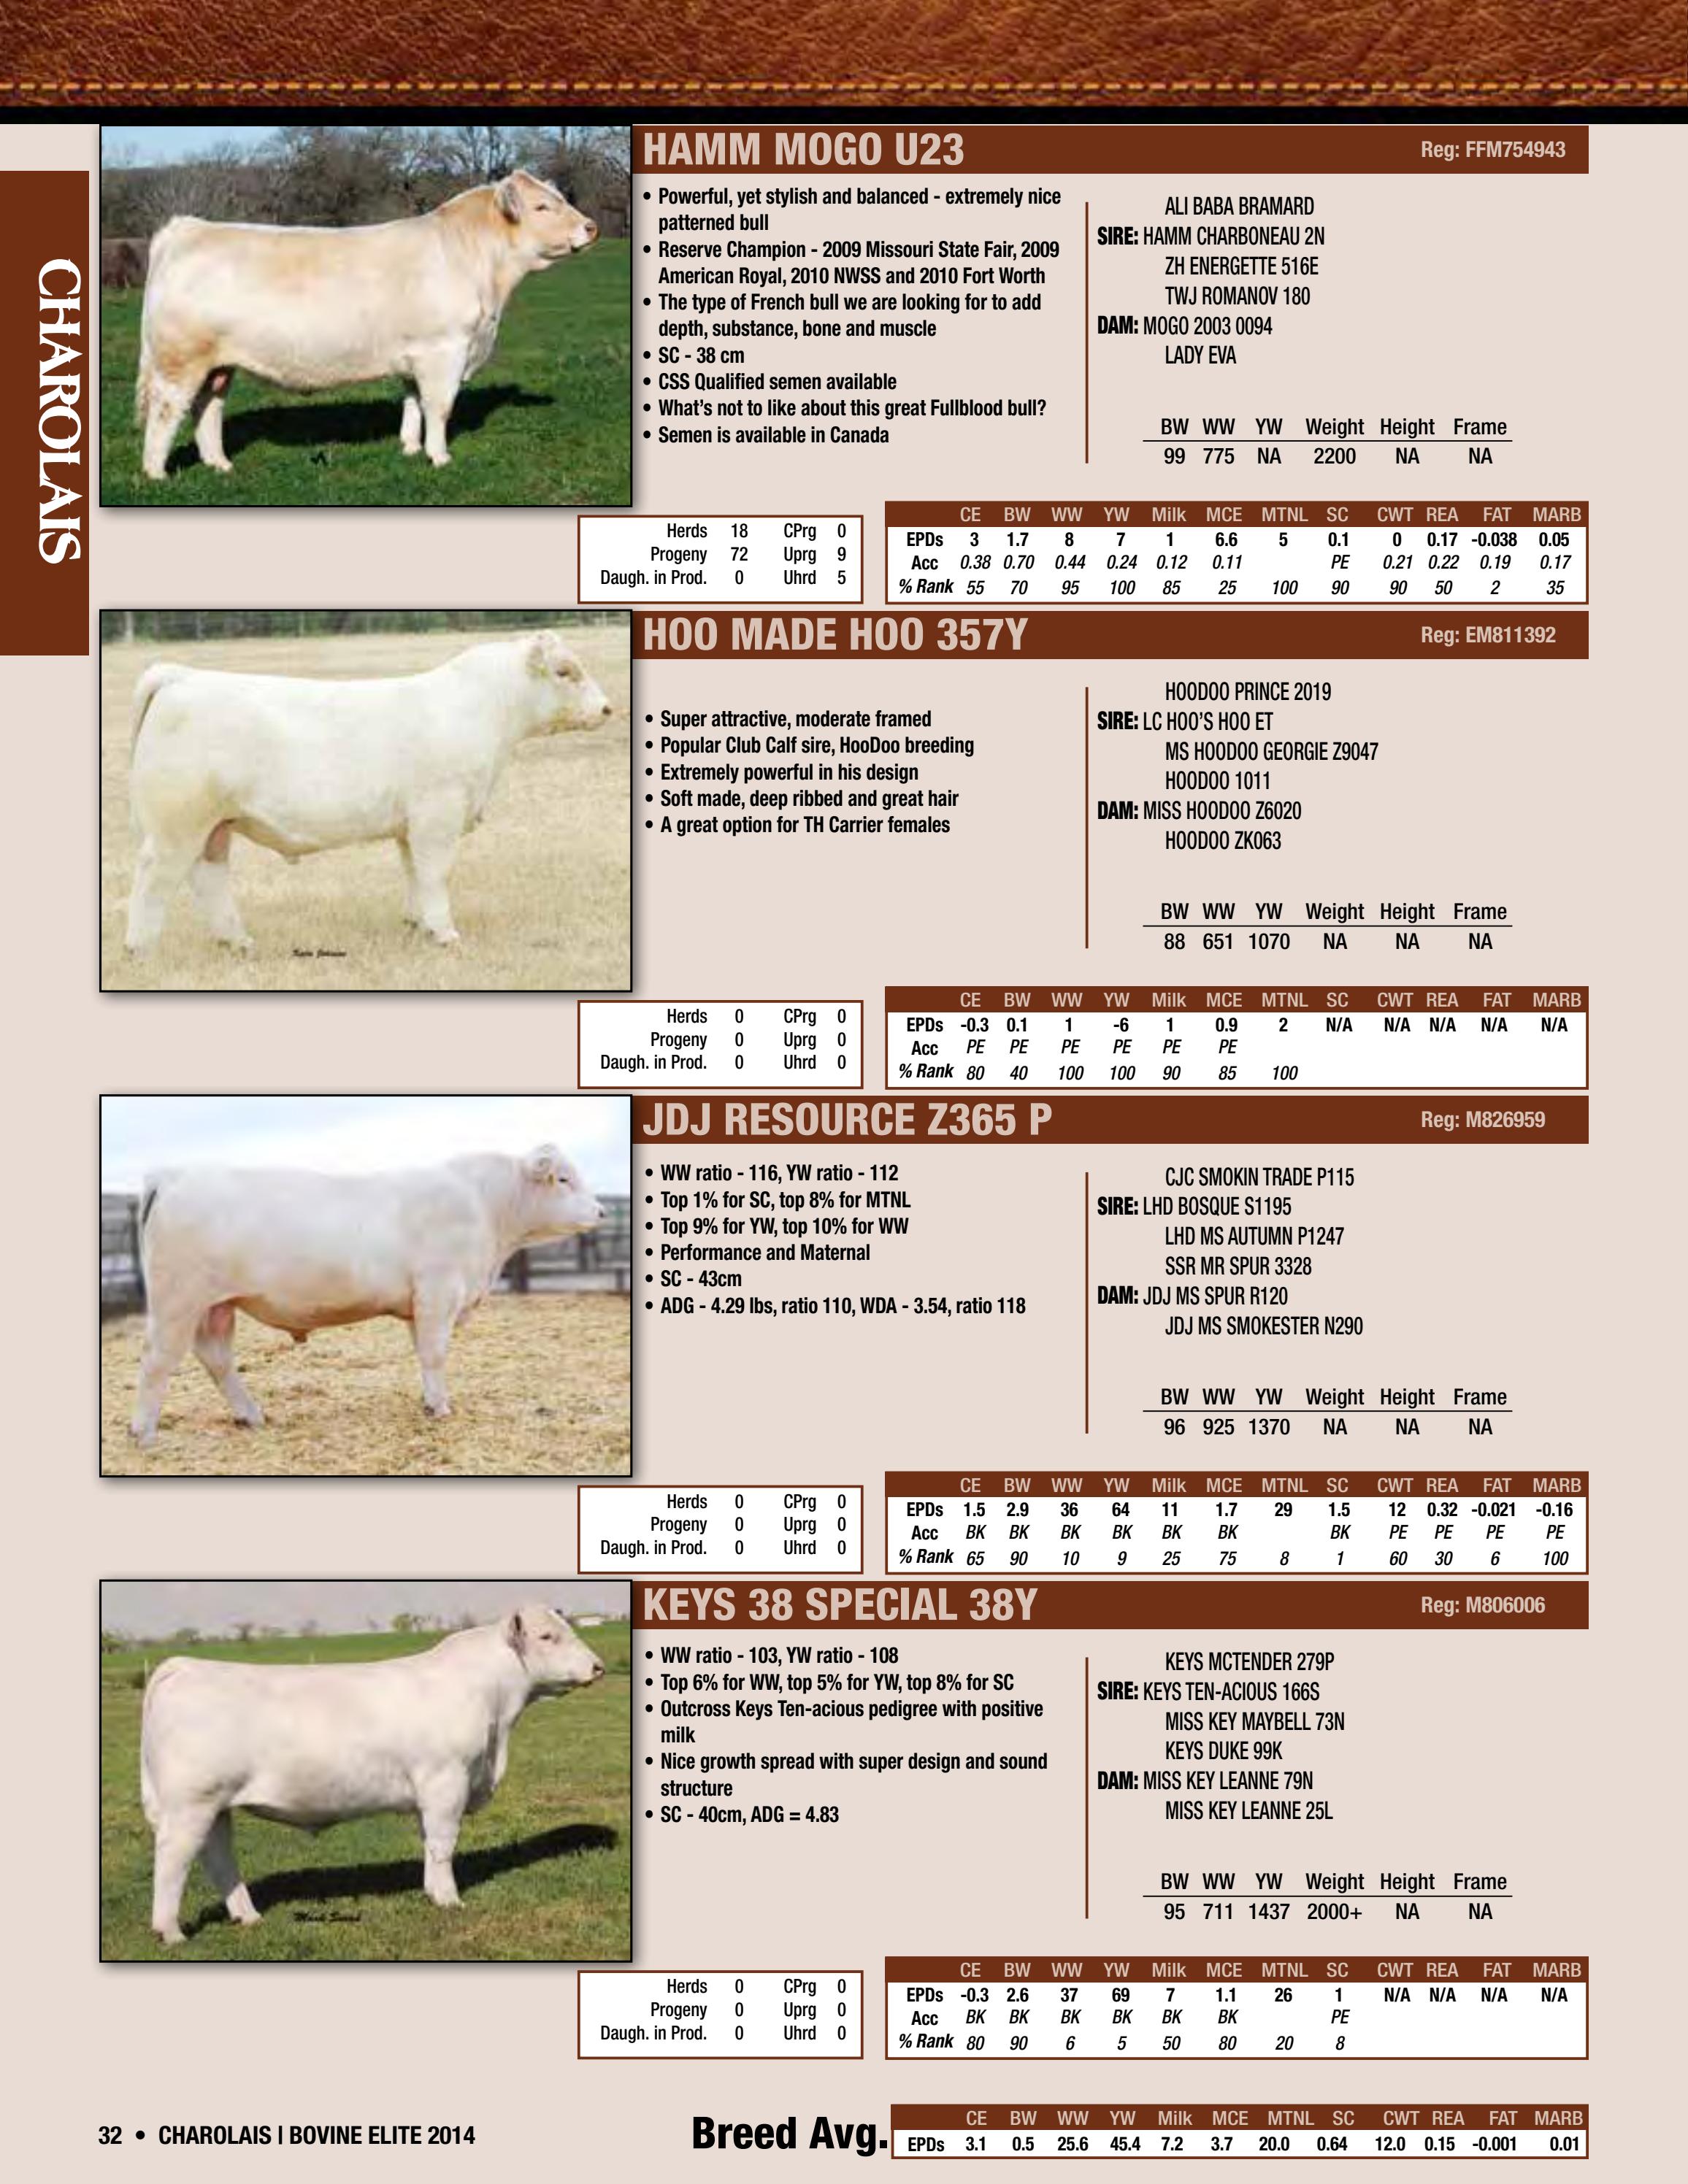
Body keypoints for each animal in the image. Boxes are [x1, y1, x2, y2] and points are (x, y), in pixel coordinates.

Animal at [125, 630, 614, 955]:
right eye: (565, 671)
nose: (607, 708)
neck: (486, 712)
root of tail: (181, 676)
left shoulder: (412, 824)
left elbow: (413, 872)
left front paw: (418, 925)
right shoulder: (439, 813)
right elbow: (436, 873)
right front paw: (446, 934)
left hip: (213, 825)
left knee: (208, 876)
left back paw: (238, 942)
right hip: (178, 822)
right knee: (155, 876)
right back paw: (141, 949)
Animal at [128, 1146, 604, 1449]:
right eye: (563, 1178)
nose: (601, 1211)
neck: (487, 1210)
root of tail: (172, 1174)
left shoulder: (420, 1304)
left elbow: (423, 1354)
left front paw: (429, 1402)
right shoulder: (439, 1290)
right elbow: (435, 1354)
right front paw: (441, 1407)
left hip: (215, 1305)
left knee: (217, 1358)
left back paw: (250, 1414)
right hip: (177, 1299)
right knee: (157, 1361)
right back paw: (144, 1433)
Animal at [135, 170, 597, 479]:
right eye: (542, 206)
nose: (591, 227)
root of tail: (188, 228)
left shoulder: (416, 352)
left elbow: (413, 401)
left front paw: (410, 447)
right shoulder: (444, 350)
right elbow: (440, 406)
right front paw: (440, 457)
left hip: (218, 364)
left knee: (207, 407)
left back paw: (220, 464)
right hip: (179, 360)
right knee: (166, 409)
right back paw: (157, 473)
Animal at [141, 1605, 607, 1945]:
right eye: (547, 1636)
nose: (599, 1667)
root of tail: (184, 1665)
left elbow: (429, 1843)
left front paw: (433, 1894)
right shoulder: (447, 1780)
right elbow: (444, 1844)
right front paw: (450, 1901)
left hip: (215, 1806)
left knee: (219, 1858)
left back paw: (248, 1917)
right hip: (191, 1803)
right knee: (172, 1860)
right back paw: (171, 1933)